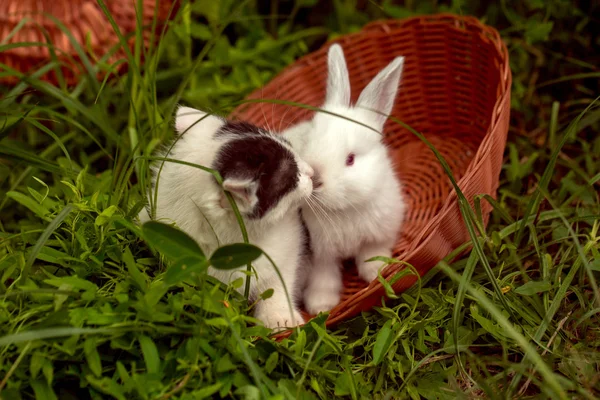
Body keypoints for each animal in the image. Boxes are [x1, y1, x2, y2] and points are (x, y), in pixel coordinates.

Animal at [282, 43, 406, 312]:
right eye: (308, 142)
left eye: (350, 159)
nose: (315, 179)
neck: (344, 209)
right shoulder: (321, 254)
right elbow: (324, 277)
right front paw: (320, 306)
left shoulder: (379, 234)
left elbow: (372, 253)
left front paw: (376, 273)